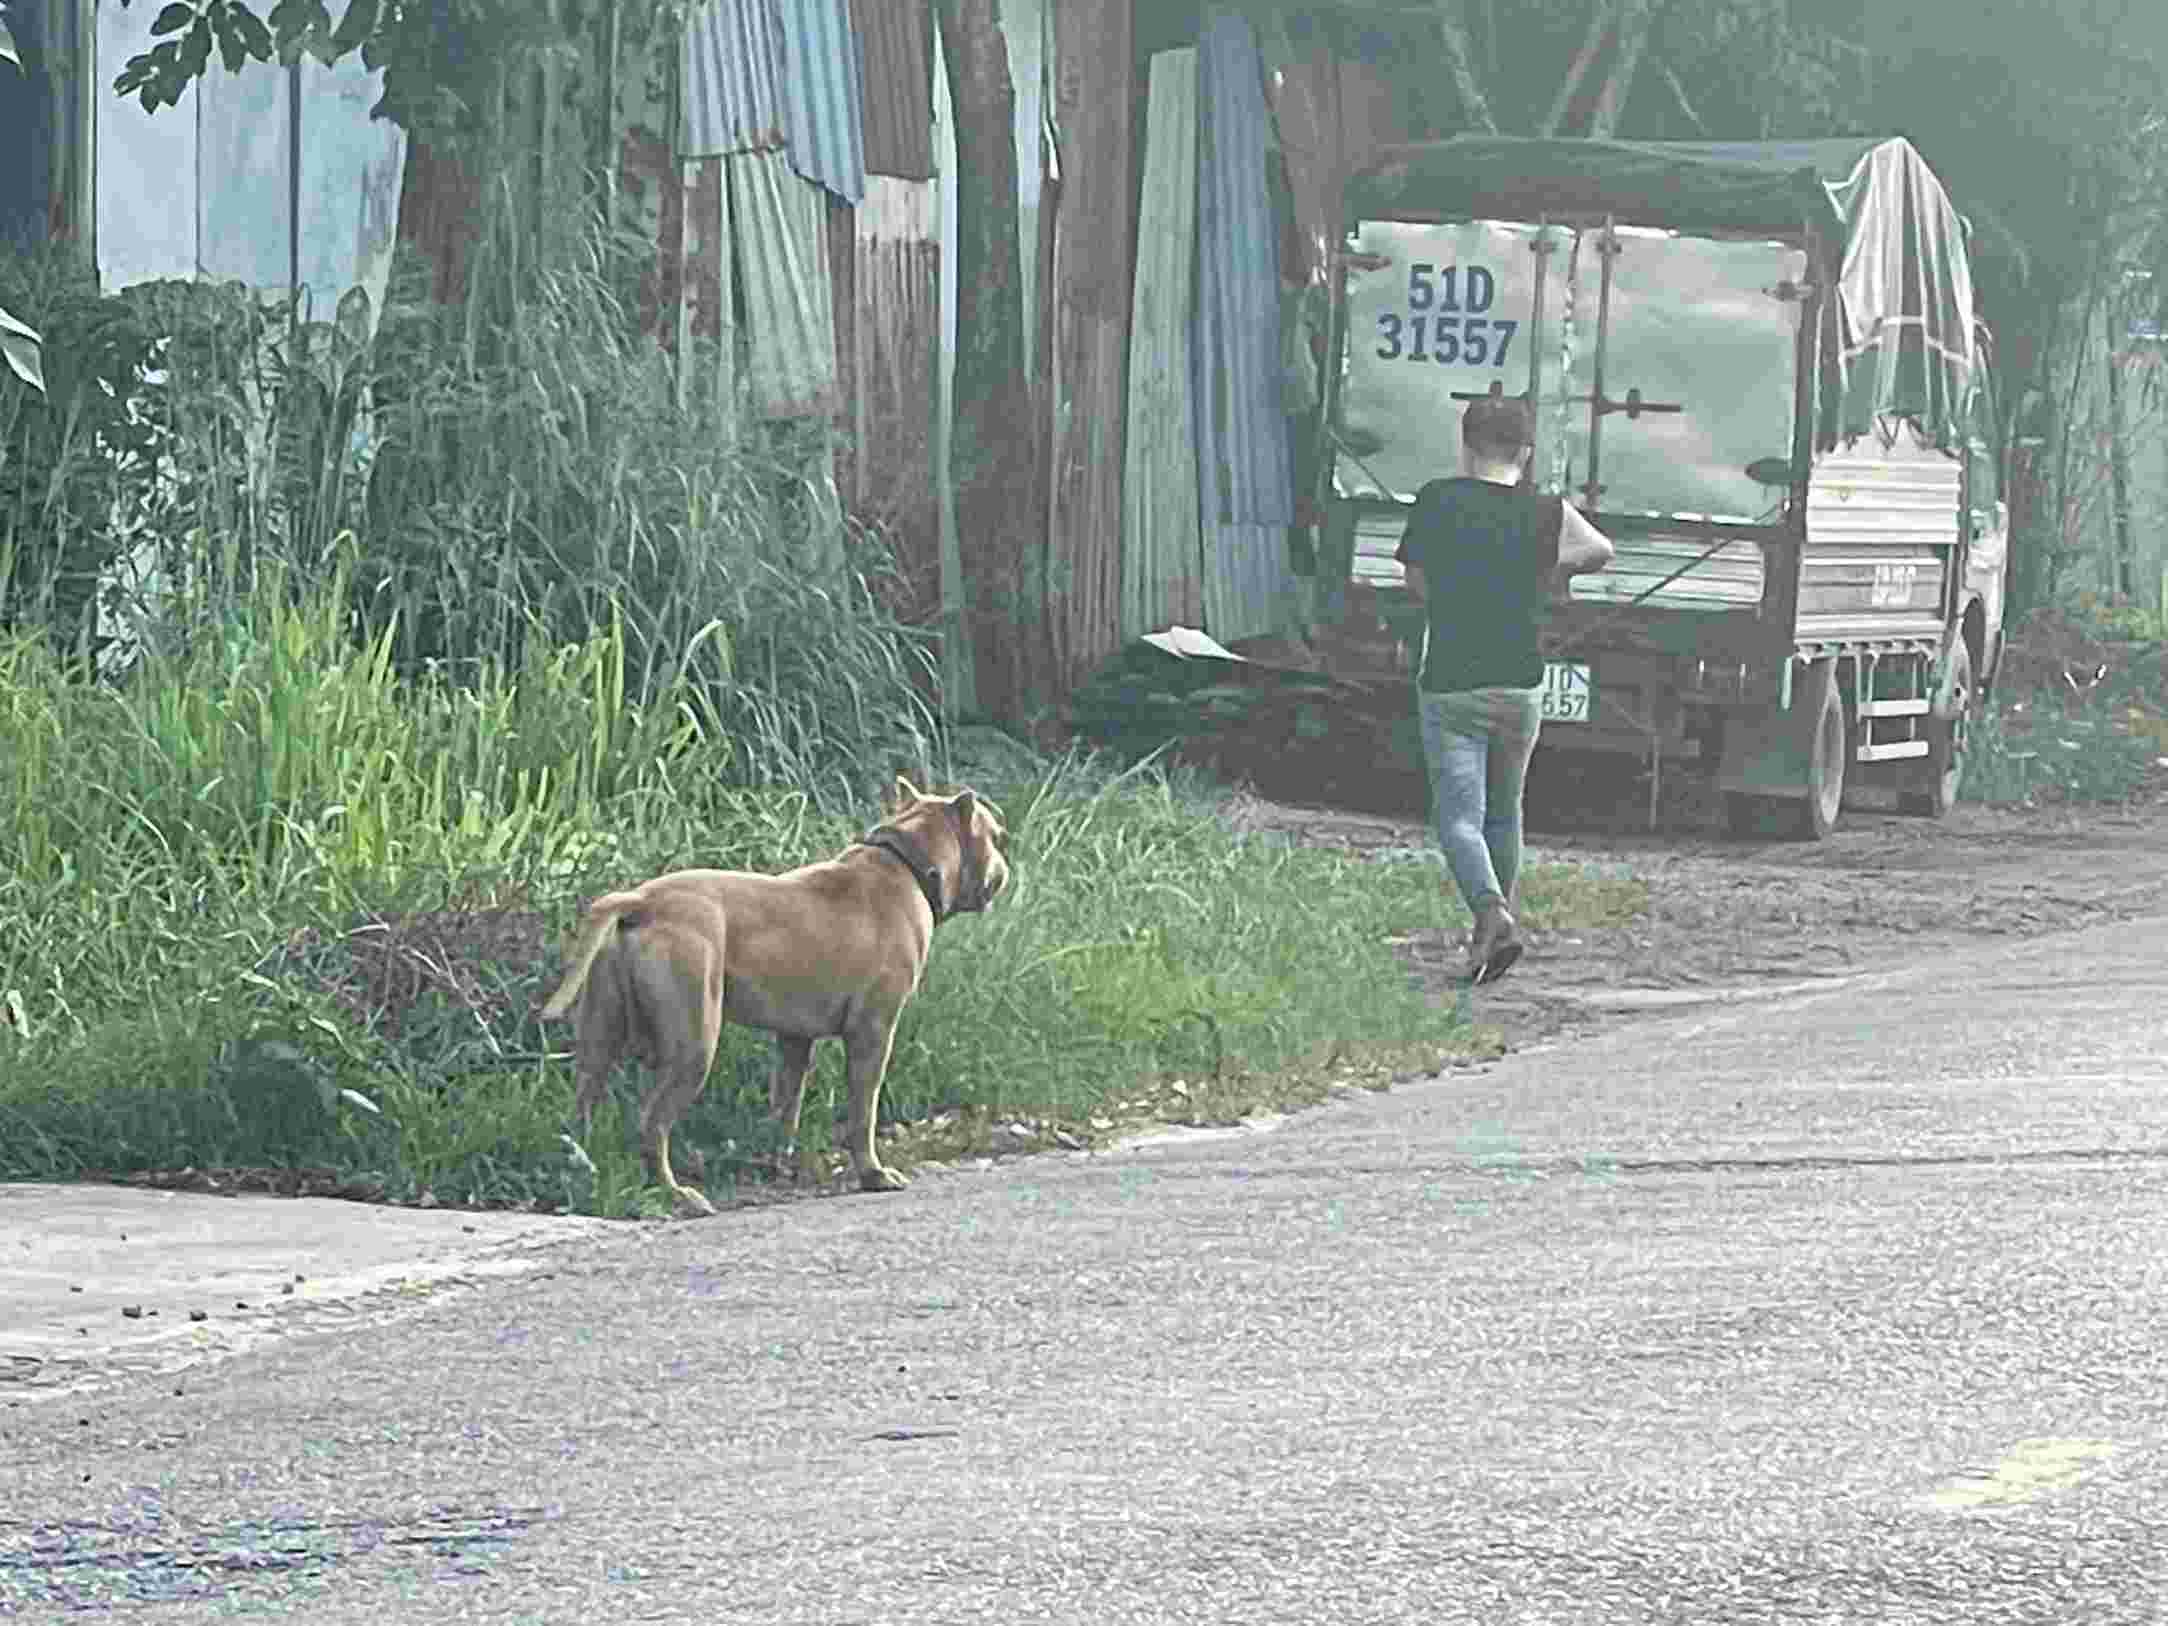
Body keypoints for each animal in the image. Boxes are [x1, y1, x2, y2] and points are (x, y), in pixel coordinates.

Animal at [542, 784, 1014, 1214]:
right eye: (997, 834)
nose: (1006, 866)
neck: (908, 862)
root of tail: (643, 900)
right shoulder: (873, 1034)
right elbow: (863, 1112)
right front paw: (872, 1173)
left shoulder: (793, 1041)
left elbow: (786, 1107)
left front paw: (780, 1164)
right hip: (694, 1046)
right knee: (652, 1124)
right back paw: (675, 1194)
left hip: (599, 1042)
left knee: (583, 1107)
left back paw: (581, 1171)